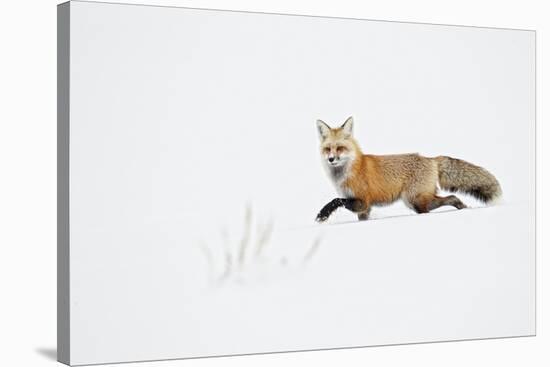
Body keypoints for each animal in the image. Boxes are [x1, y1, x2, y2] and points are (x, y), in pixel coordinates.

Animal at [316, 117, 502, 221]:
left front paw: (322, 215)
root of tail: (431, 159)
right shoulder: (364, 209)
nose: (331, 159)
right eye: (328, 149)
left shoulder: (362, 201)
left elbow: (336, 200)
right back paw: (463, 208)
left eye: (340, 148)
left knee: (444, 201)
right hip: (417, 200)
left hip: (414, 201)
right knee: (452, 197)